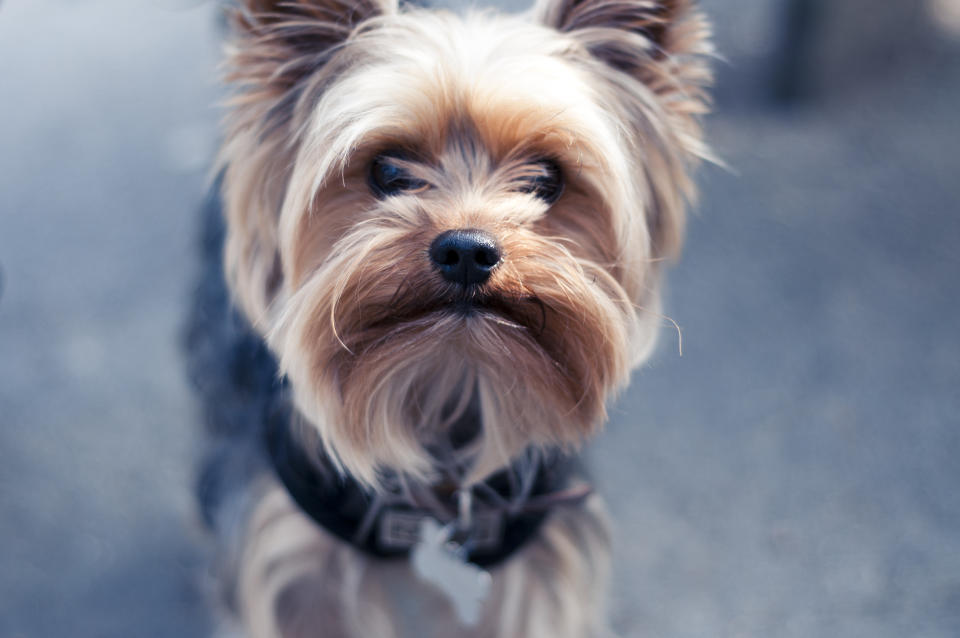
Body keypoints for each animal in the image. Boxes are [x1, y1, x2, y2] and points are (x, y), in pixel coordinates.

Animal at [188, 1, 712, 636]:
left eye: (546, 179)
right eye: (387, 170)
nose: (467, 249)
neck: (450, 380)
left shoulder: (542, 563)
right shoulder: (288, 560)